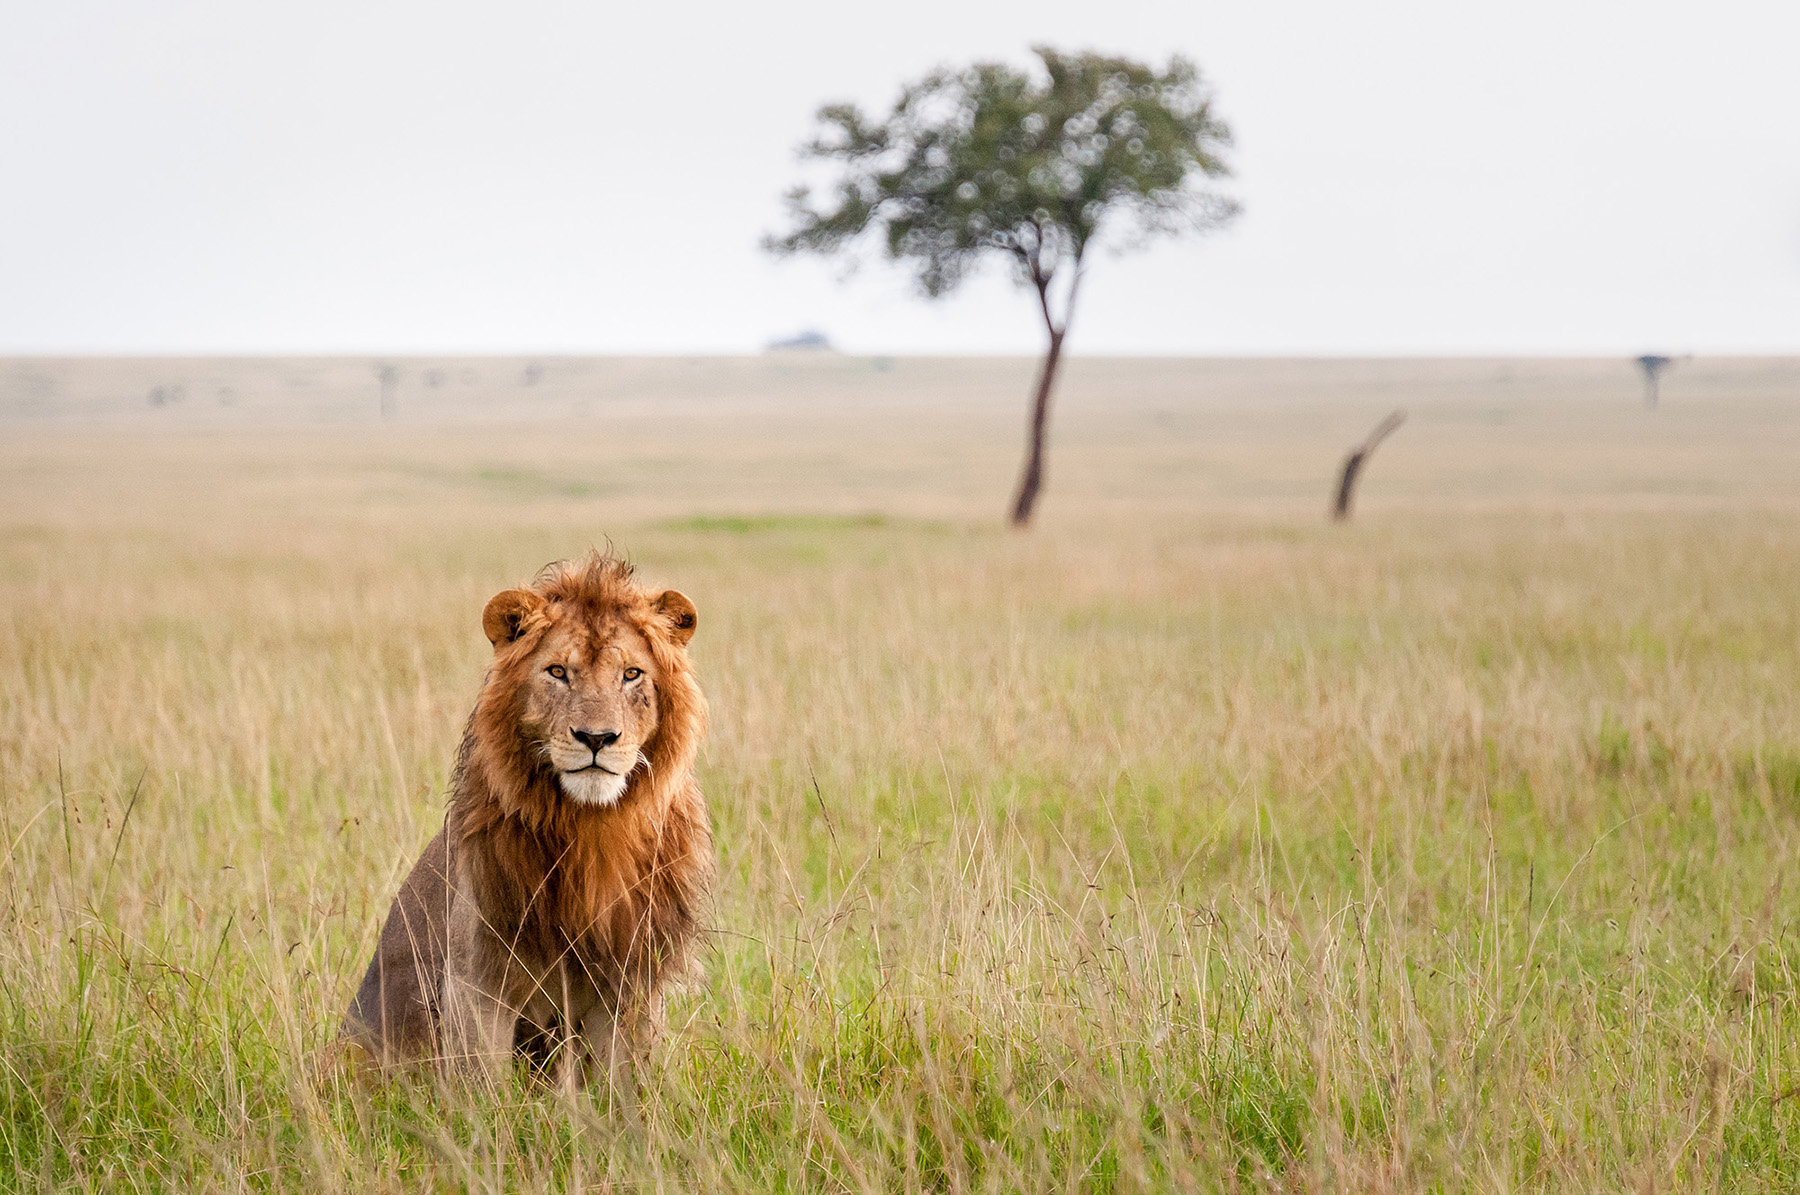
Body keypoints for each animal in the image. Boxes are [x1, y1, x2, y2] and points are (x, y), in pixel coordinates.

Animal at [340, 551, 711, 1097]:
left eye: (631, 674)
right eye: (557, 672)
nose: (596, 738)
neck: (593, 831)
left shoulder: (632, 979)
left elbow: (624, 1089)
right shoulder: (478, 979)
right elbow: (481, 1087)